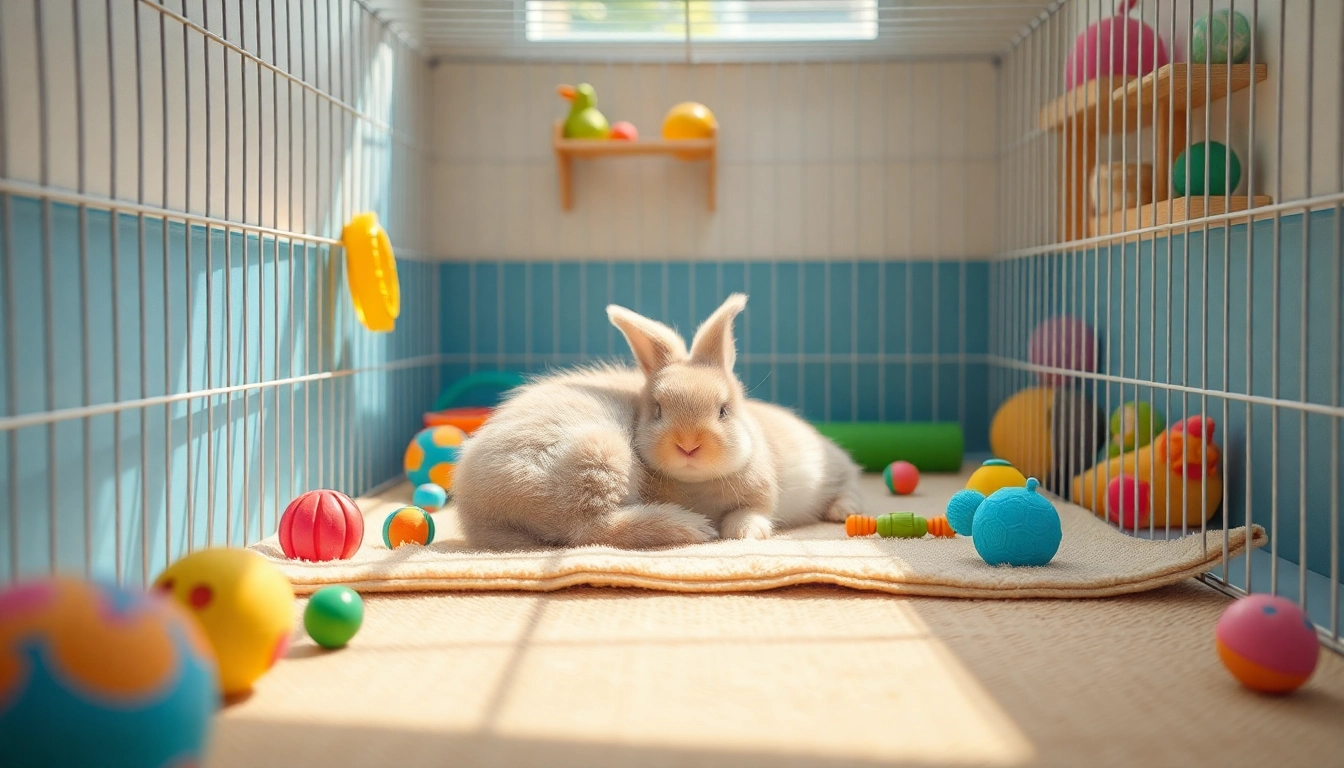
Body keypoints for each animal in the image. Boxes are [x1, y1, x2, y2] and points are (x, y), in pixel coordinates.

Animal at [451, 293, 865, 551]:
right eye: (658, 410)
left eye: (724, 410)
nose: (688, 444)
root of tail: (475, 503)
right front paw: (727, 532)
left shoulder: (760, 497)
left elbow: (750, 515)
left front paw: (744, 535)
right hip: (599, 456)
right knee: (592, 528)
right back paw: (689, 527)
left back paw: (845, 512)